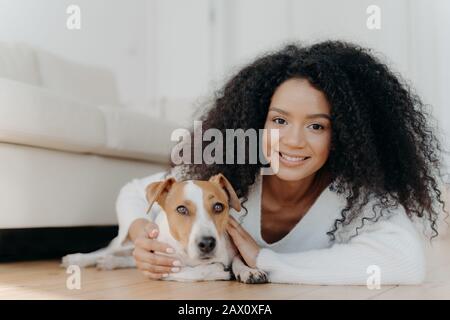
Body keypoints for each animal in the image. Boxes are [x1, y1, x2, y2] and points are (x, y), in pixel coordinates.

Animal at [62, 174, 268, 284]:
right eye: (181, 209)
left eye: (218, 207)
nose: (207, 243)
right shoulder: (164, 266)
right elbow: (194, 271)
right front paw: (217, 271)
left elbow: (238, 260)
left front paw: (249, 271)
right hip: (125, 243)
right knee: (107, 250)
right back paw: (78, 259)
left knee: (128, 259)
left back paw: (111, 262)